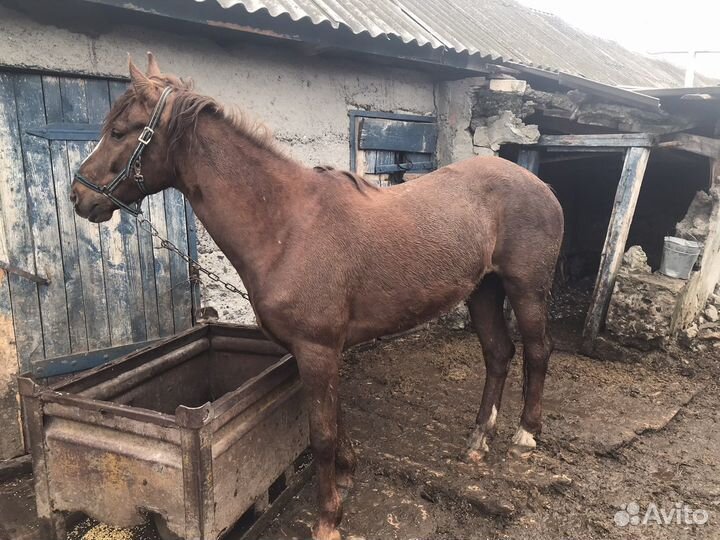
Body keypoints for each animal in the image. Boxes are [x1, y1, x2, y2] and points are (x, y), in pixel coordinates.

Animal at [71, 54, 564, 540]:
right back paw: (478, 442)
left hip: (525, 288)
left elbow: (321, 433)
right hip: (483, 289)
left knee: (537, 350)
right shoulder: (322, 352)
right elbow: (337, 419)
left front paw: (328, 518)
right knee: (498, 353)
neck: (286, 227)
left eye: (120, 131)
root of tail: (538, 185)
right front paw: (347, 473)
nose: (78, 196)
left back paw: (525, 436)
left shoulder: (317, 349)